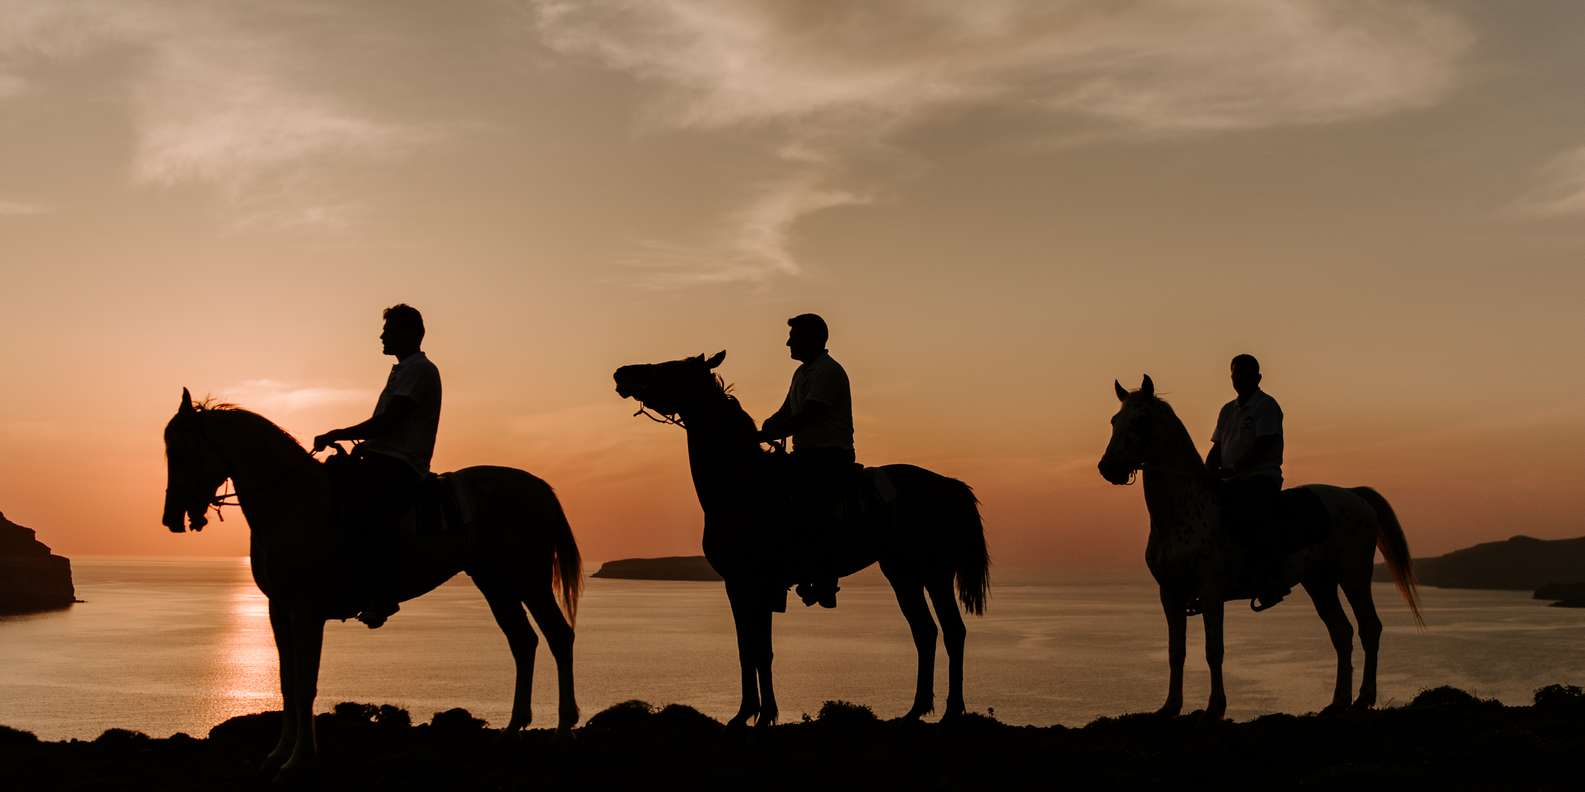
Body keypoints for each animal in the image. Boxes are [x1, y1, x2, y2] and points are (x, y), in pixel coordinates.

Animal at [160, 389, 586, 779]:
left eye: (179, 452)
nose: (171, 517)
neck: (293, 501)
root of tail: (538, 488)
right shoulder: (278, 610)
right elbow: (286, 682)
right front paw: (278, 753)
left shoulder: (306, 611)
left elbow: (305, 684)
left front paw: (300, 759)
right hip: (494, 582)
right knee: (523, 642)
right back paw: (512, 730)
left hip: (528, 579)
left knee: (557, 635)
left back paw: (564, 729)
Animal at [608, 351, 989, 725]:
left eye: (671, 368)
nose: (622, 373)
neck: (742, 484)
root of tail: (948, 485)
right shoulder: (738, 584)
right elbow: (747, 647)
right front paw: (747, 712)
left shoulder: (754, 581)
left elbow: (760, 649)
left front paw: (762, 715)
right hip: (902, 572)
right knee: (926, 632)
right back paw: (915, 711)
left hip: (934, 573)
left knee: (952, 631)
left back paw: (952, 711)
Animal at [1096, 375, 1420, 719]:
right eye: (1115, 420)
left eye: (1141, 420)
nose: (1108, 468)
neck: (1184, 511)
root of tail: (1354, 495)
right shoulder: (1169, 593)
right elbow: (1176, 652)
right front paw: (1170, 706)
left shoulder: (1211, 591)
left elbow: (1213, 650)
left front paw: (1215, 707)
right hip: (1319, 582)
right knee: (1342, 633)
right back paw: (1338, 701)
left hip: (1354, 575)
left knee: (1369, 628)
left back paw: (1363, 698)